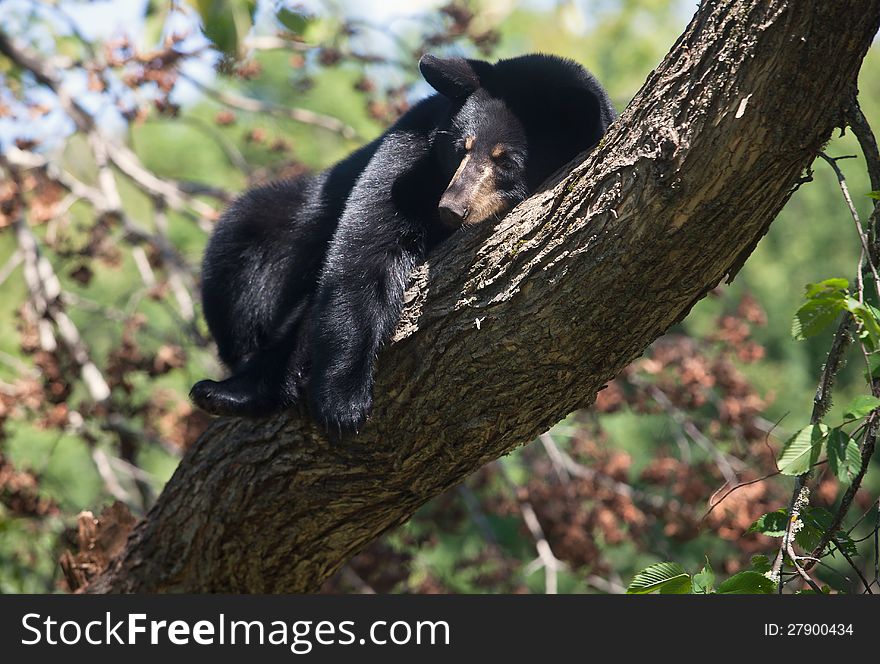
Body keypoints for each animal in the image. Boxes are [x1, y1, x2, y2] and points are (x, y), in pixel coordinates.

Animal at [192, 54, 620, 434]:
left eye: (507, 161)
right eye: (462, 147)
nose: (451, 208)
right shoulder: (411, 150)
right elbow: (366, 247)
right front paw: (342, 399)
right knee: (240, 262)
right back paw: (229, 388)